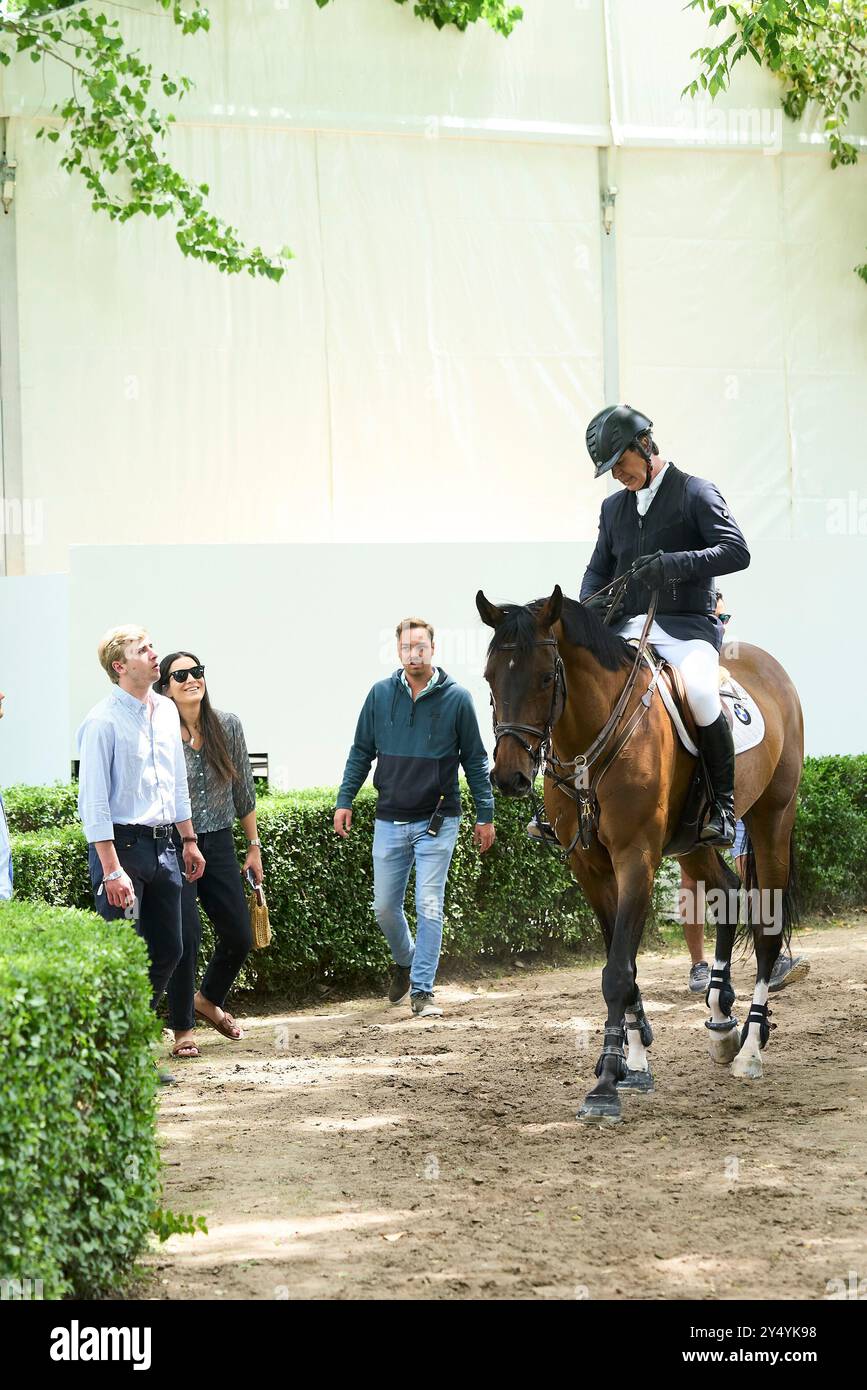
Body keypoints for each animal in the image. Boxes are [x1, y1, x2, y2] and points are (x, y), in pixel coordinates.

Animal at [477, 583, 800, 1117]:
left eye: (546, 677)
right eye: (489, 677)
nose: (508, 777)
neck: (590, 743)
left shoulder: (635, 859)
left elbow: (617, 970)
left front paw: (607, 1083)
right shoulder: (589, 868)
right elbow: (621, 967)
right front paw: (634, 1059)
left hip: (773, 819)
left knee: (767, 929)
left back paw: (751, 1047)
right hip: (692, 842)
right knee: (729, 890)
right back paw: (720, 1017)